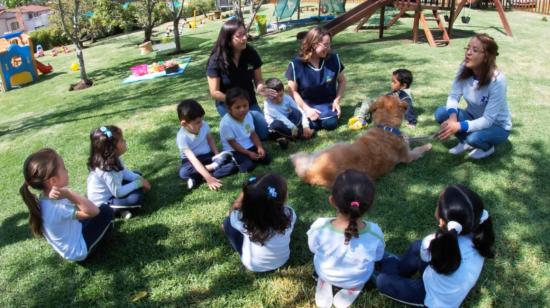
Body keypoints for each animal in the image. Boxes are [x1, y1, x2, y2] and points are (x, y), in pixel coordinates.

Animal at [294, 95, 436, 186]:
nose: (395, 91)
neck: (386, 127)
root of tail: (310, 174)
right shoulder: (408, 156)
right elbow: (418, 149)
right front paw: (428, 145)